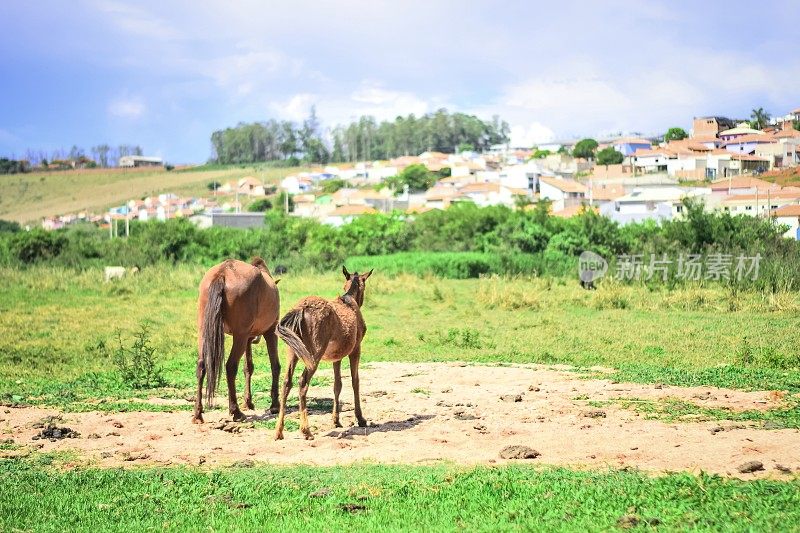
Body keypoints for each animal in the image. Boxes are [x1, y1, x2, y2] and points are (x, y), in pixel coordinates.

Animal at [193, 258, 282, 424]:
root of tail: (222, 273)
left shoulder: (247, 338)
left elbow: (248, 368)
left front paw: (248, 402)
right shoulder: (270, 331)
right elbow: (275, 366)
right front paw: (275, 405)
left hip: (205, 331)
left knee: (201, 366)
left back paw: (198, 413)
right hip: (240, 336)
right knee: (230, 366)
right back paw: (236, 411)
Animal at [274, 264, 374, 436]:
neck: (349, 301)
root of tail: (301, 309)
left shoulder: (337, 357)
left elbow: (337, 385)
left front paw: (336, 420)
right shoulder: (355, 350)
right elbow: (355, 381)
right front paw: (360, 419)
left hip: (293, 352)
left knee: (286, 382)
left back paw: (278, 432)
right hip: (314, 355)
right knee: (302, 382)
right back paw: (306, 430)